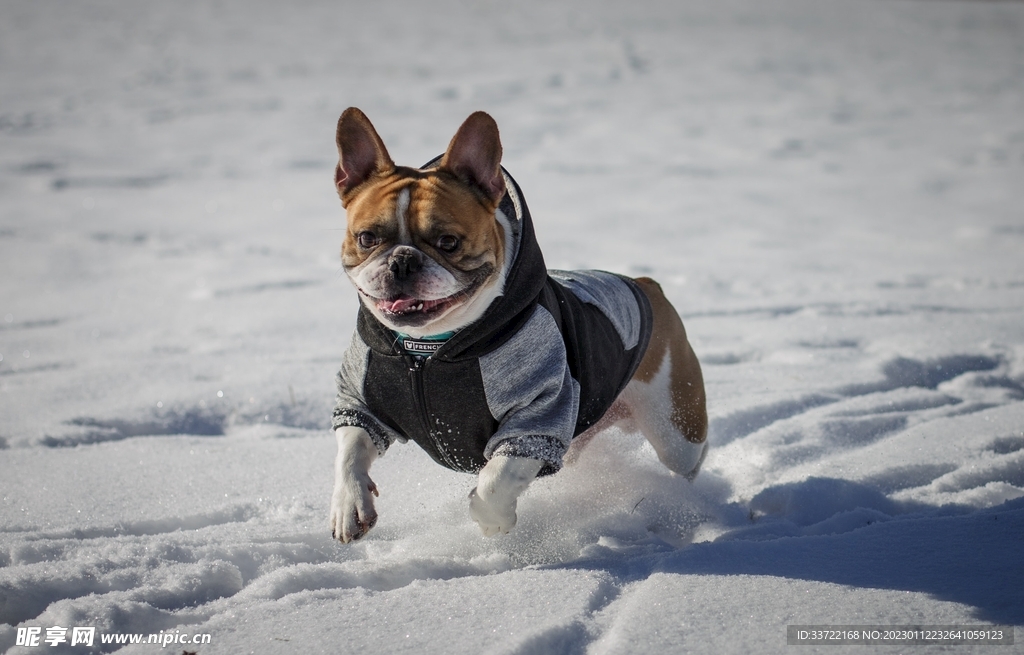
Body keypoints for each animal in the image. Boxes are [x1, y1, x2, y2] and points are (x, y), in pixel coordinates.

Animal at [327, 107, 704, 540]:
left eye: (448, 242)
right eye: (367, 238)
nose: (402, 260)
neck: (428, 349)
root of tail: (645, 285)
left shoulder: (539, 415)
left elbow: (499, 475)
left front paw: (493, 519)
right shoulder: (359, 402)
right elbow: (350, 451)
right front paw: (349, 506)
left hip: (676, 426)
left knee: (685, 461)